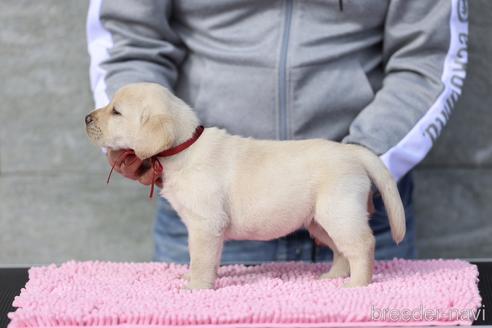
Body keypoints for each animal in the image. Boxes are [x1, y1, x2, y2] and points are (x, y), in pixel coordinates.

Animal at [85, 82, 408, 290]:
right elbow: (210, 259)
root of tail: (353, 151)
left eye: (116, 112)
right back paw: (333, 278)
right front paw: (198, 280)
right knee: (342, 251)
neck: (184, 148)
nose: (86, 118)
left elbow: (199, 259)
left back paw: (357, 284)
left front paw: (195, 287)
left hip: (339, 212)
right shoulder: (209, 229)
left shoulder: (206, 225)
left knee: (363, 245)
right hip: (319, 222)